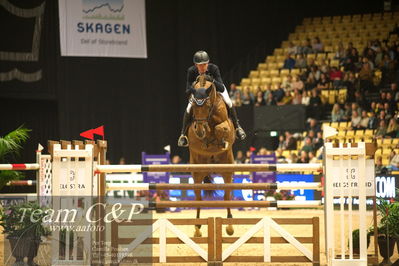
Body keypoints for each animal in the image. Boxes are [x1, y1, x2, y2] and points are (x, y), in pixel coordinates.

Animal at [189, 74, 236, 237]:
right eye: (194, 107)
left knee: (227, 196)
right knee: (198, 198)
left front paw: (221, 140)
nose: (200, 131)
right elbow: (208, 134)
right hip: (197, 172)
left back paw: (229, 226)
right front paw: (206, 136)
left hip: (227, 170)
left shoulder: (225, 124)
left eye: (208, 106)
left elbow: (221, 128)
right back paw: (197, 228)